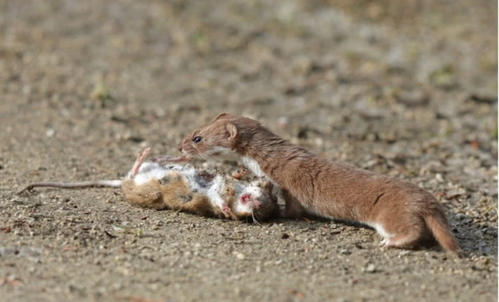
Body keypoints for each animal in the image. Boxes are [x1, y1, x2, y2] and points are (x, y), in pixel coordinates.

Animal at [17, 148, 280, 222]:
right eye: (264, 193)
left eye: (261, 211)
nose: (255, 201)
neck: (235, 194)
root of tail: (121, 183)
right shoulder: (220, 188)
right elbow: (227, 179)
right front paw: (240, 172)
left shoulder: (210, 201)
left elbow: (219, 204)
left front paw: (228, 212)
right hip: (147, 175)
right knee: (143, 165)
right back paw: (151, 153)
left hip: (146, 189)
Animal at [169, 112, 460, 254]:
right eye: (193, 130)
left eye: (197, 138)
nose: (179, 145)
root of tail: (428, 201)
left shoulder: (290, 183)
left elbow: (293, 207)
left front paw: (282, 212)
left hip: (391, 213)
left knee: (409, 230)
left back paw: (389, 242)